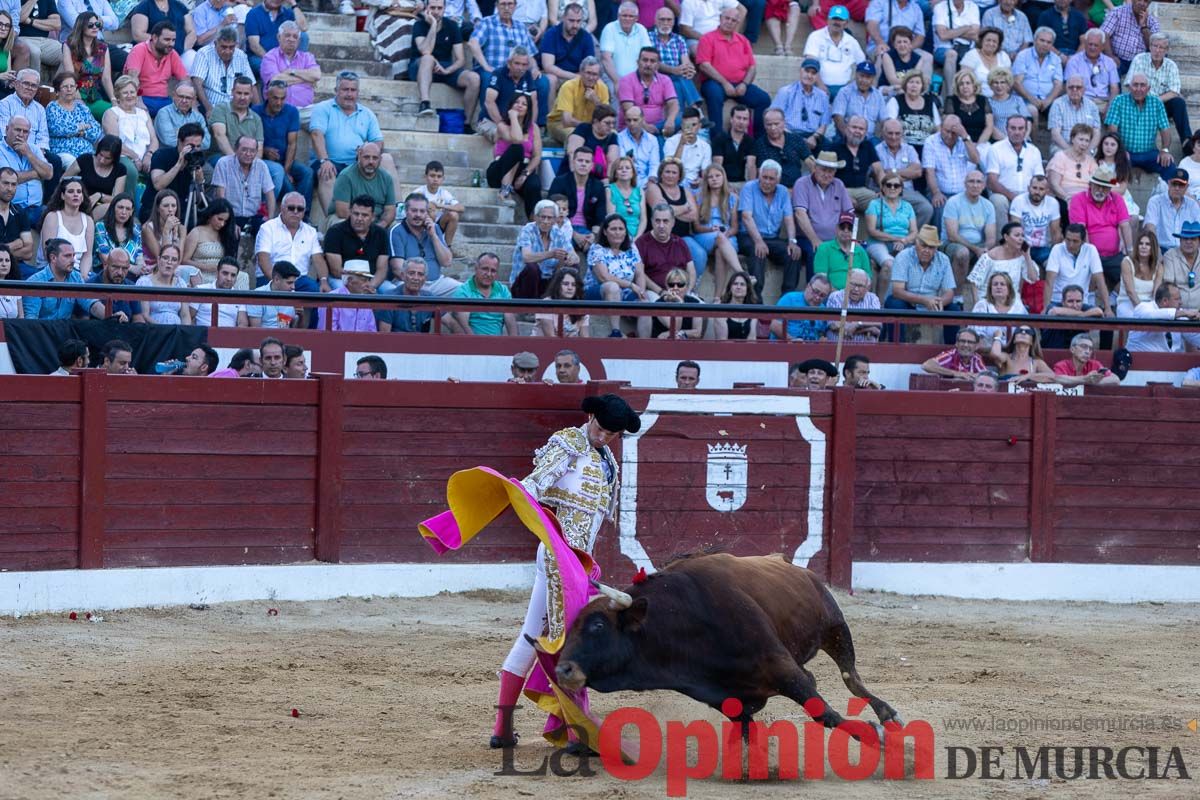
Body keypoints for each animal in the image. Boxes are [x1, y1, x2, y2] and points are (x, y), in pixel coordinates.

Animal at [552, 556, 902, 738]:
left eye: (598, 626)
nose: (562, 669)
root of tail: (795, 566)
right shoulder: (727, 699)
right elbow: (747, 734)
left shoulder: (782, 668)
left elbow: (824, 712)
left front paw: (872, 735)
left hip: (834, 626)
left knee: (851, 677)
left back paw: (888, 715)